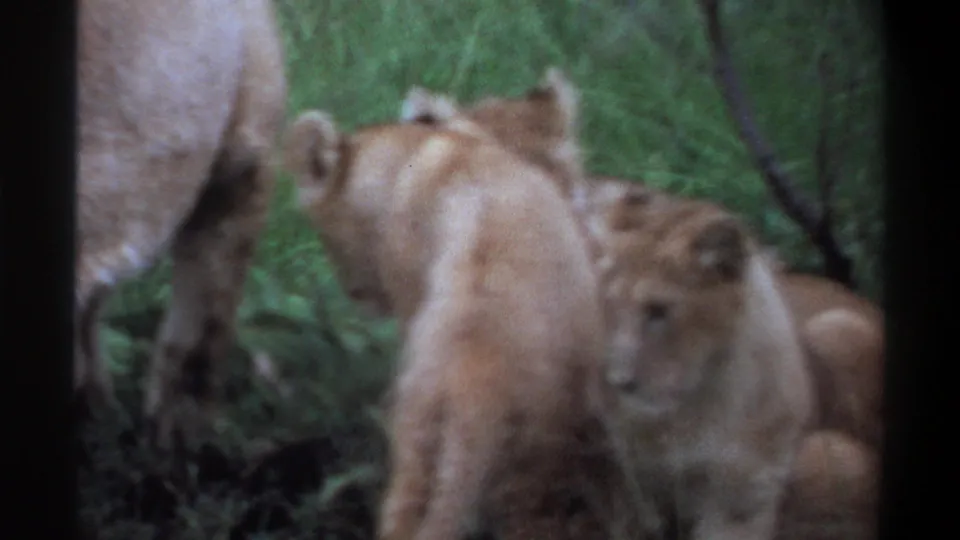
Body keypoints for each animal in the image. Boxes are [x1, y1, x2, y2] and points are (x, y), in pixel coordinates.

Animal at [585, 192, 814, 540]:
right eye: (610, 302)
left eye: (658, 310)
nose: (619, 382)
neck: (697, 405)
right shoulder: (637, 486)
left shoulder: (744, 498)